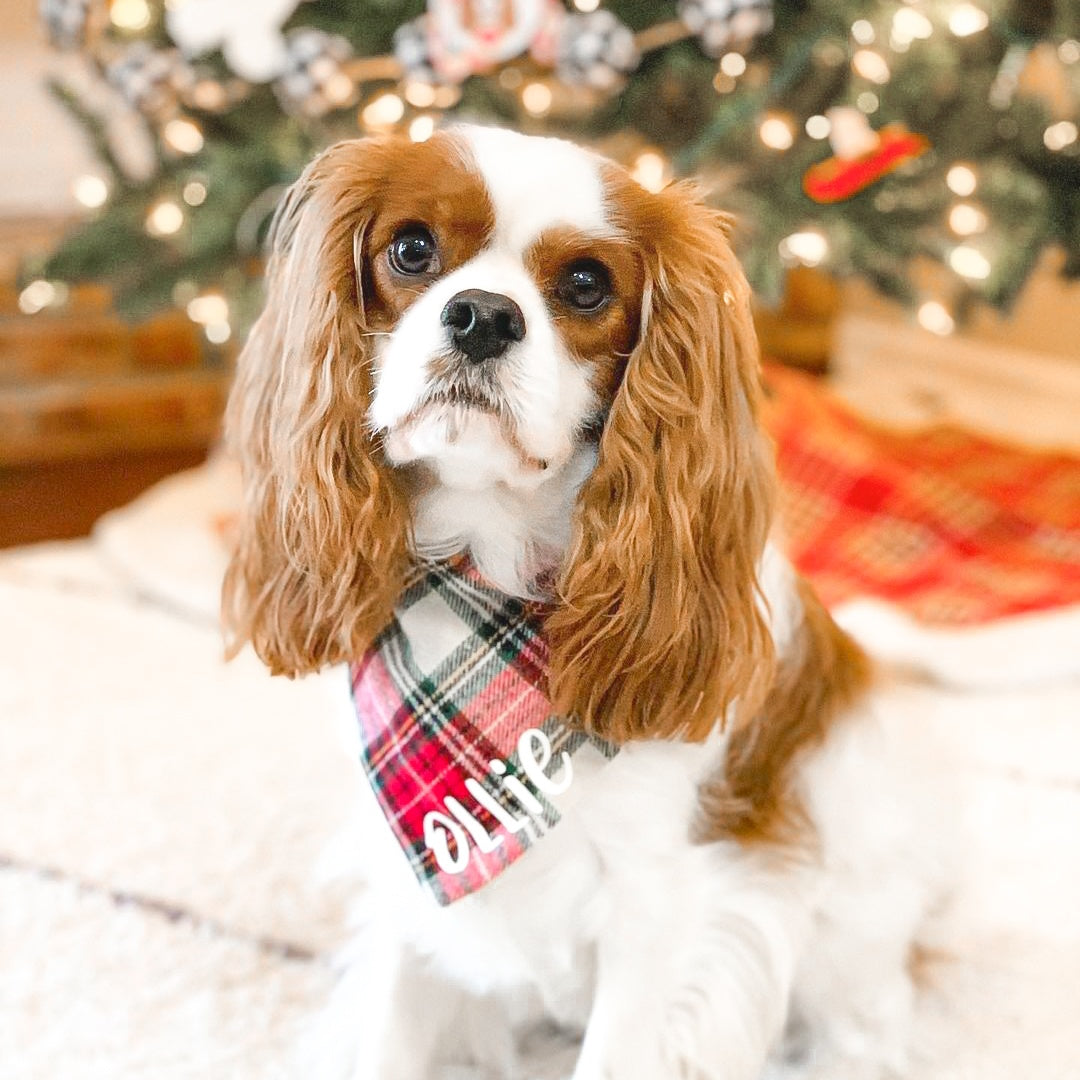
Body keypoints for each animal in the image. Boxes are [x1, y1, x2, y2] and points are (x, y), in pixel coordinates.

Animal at [225, 126, 946, 1080]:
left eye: (585, 285)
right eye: (411, 249)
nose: (482, 315)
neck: (488, 574)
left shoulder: (658, 903)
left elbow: (619, 1051)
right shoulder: (411, 885)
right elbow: (387, 1039)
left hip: (850, 926)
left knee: (869, 1028)